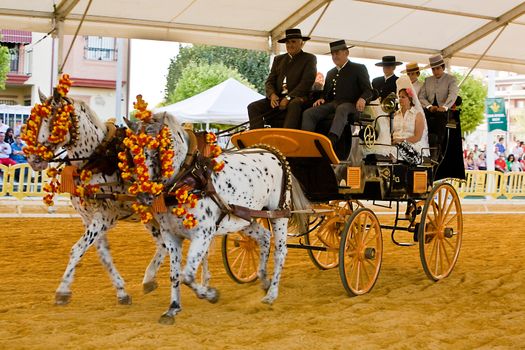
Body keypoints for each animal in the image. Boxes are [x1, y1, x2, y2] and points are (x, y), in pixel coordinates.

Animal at [25, 89, 174, 306]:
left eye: (54, 121)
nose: (33, 159)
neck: (95, 159)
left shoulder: (105, 217)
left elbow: (77, 248)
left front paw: (62, 290)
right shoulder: (88, 219)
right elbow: (103, 254)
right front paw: (121, 291)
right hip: (151, 217)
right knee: (164, 243)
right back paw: (149, 279)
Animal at [125, 113, 310, 324]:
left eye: (159, 149)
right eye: (131, 152)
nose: (143, 194)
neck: (189, 179)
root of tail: (272, 152)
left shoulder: (203, 234)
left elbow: (187, 276)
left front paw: (211, 294)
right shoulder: (171, 236)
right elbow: (175, 275)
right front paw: (173, 308)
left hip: (278, 214)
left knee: (280, 252)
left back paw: (271, 294)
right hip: (245, 217)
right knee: (264, 238)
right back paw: (264, 280)